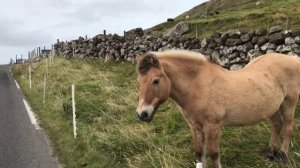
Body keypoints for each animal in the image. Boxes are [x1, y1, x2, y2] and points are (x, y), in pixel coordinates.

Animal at [135, 50, 300, 168]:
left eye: (156, 80)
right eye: (139, 81)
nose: (142, 114)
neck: (198, 86)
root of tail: (293, 59)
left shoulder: (212, 127)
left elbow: (214, 154)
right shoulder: (195, 127)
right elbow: (199, 153)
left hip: (289, 103)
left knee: (288, 127)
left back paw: (283, 156)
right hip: (273, 107)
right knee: (277, 125)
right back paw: (270, 153)